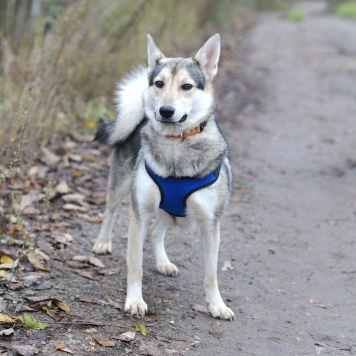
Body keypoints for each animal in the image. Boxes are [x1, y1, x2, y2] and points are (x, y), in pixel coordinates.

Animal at [93, 34, 235, 322]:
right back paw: (103, 242)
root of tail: (139, 118)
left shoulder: (209, 225)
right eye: (159, 83)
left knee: (156, 233)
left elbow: (211, 274)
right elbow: (135, 265)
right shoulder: (138, 214)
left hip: (174, 216)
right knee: (110, 212)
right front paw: (135, 300)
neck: (176, 143)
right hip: (121, 187)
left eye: (187, 86)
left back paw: (163, 263)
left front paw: (216, 305)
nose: (165, 111)